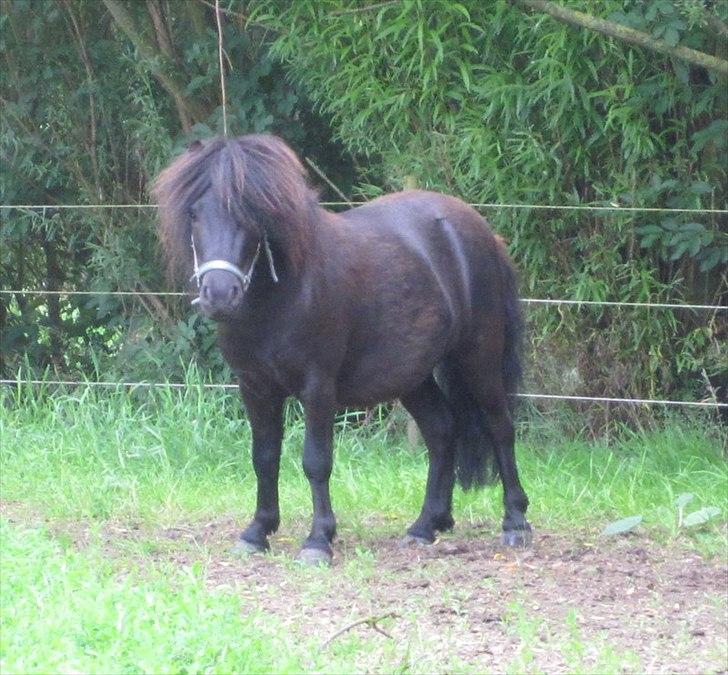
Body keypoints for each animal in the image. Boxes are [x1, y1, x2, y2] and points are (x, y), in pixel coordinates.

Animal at [154, 133, 528, 564]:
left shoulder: (318, 387)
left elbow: (316, 461)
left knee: (501, 427)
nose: (218, 294)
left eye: (251, 213)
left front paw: (319, 539)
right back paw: (425, 526)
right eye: (195, 213)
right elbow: (264, 457)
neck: (282, 295)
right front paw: (257, 531)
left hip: (478, 359)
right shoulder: (255, 387)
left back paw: (516, 522)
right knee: (441, 430)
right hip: (412, 375)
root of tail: (482, 231)